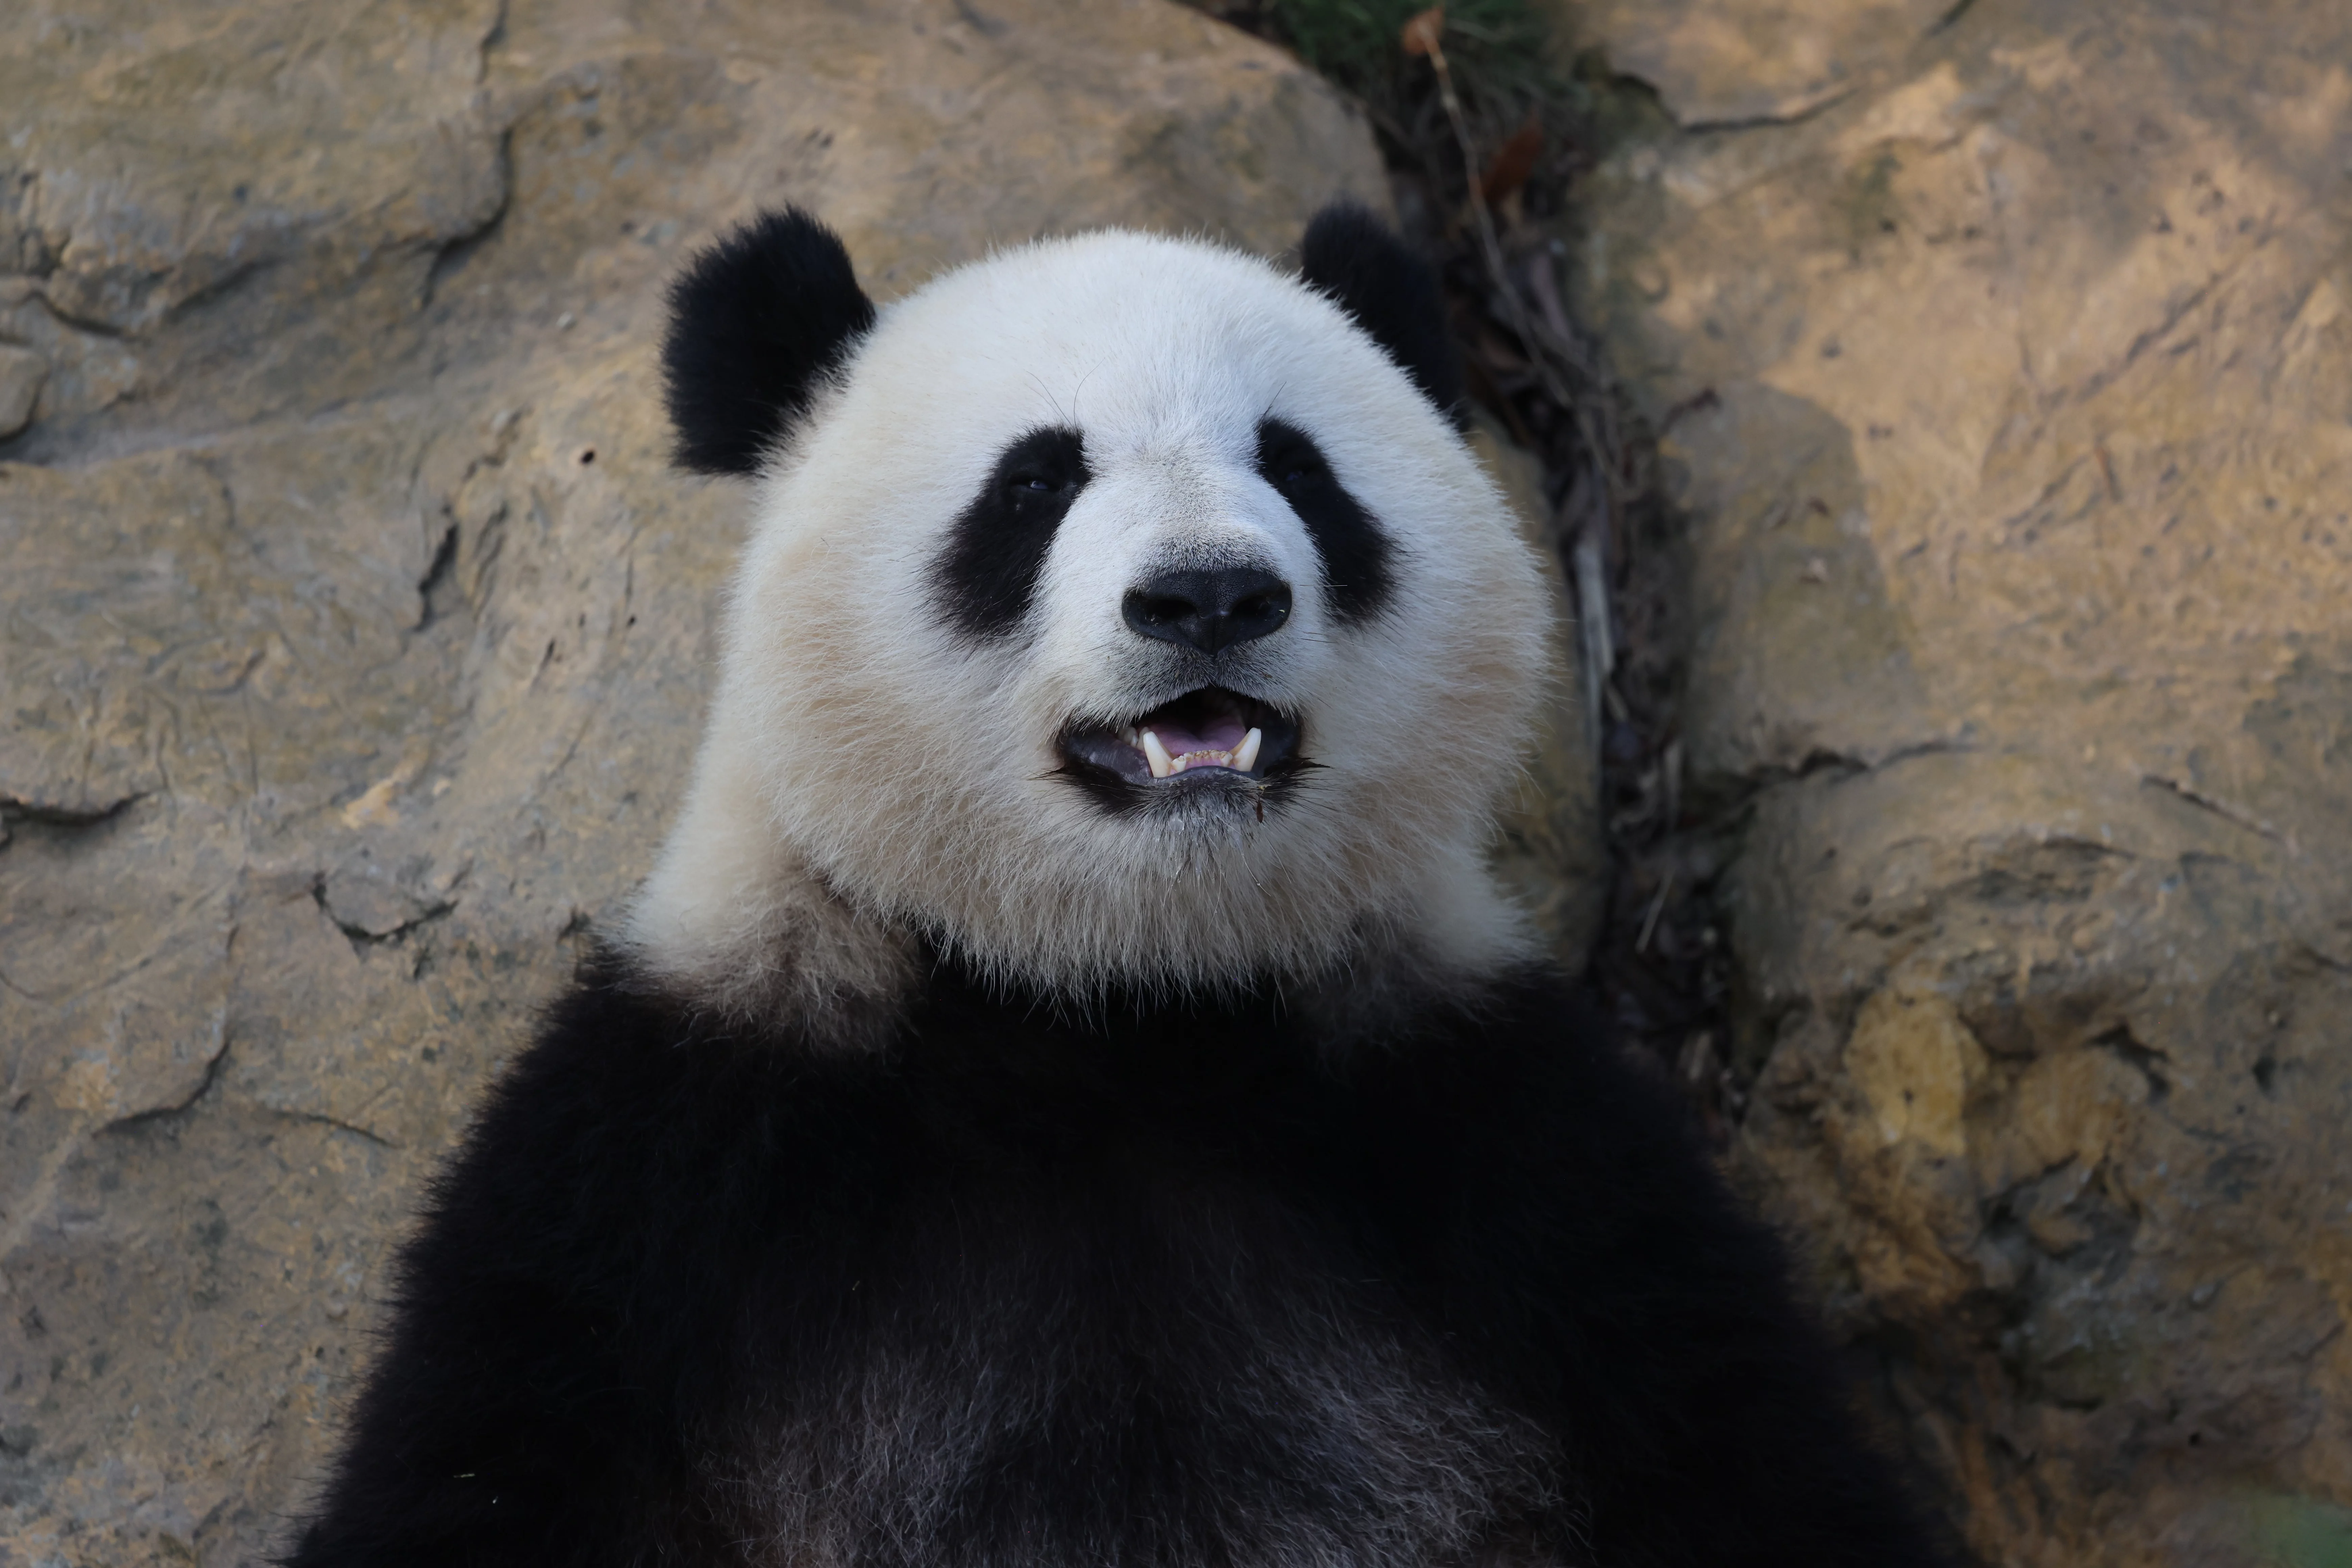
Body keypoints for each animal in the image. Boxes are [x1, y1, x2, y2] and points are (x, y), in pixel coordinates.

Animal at [287, 204, 1943, 1567]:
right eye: (1033, 483)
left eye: (1298, 469)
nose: (1207, 594)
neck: (1117, 1003)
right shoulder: (667, 1164)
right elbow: (487, 1462)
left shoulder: (1516, 1147)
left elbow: (1747, 1454)